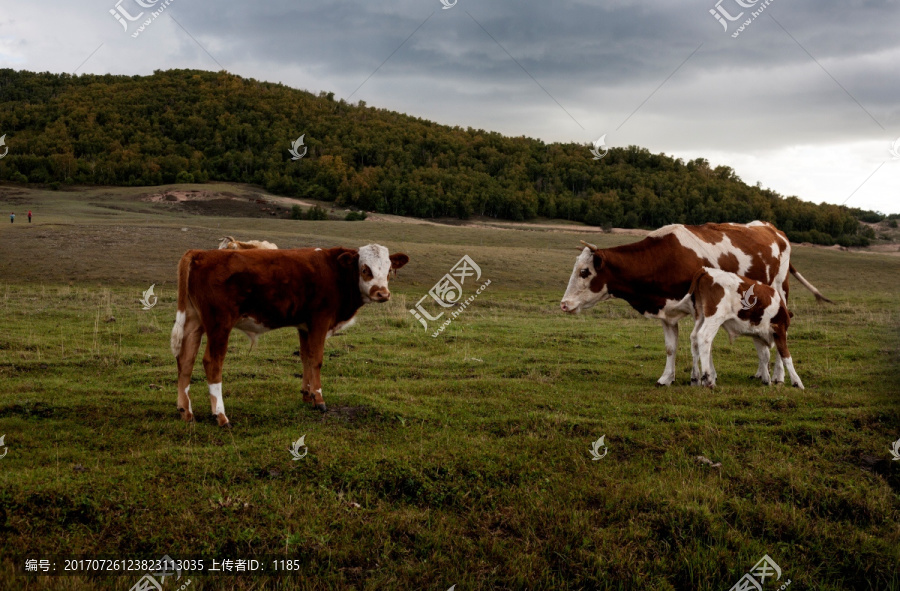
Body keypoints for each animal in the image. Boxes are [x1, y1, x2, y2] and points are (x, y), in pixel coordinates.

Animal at [169, 243, 408, 428]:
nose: (382, 293)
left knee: (186, 359)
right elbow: (317, 359)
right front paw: (319, 399)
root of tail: (200, 253)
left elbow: (306, 357)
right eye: (365, 269)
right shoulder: (320, 321)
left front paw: (307, 395)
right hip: (220, 324)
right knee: (212, 362)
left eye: (388, 270)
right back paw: (220, 415)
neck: (335, 272)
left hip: (193, 322)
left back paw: (186, 412)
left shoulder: (304, 326)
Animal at [564, 223, 828, 388]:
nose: (564, 304)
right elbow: (673, 347)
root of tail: (772, 229)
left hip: (780, 293)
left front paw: (704, 376)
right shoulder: (668, 312)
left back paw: (778, 376)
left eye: (584, 271)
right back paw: (761, 373)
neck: (664, 258)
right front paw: (667, 378)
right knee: (761, 342)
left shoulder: (700, 309)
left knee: (779, 338)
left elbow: (700, 341)